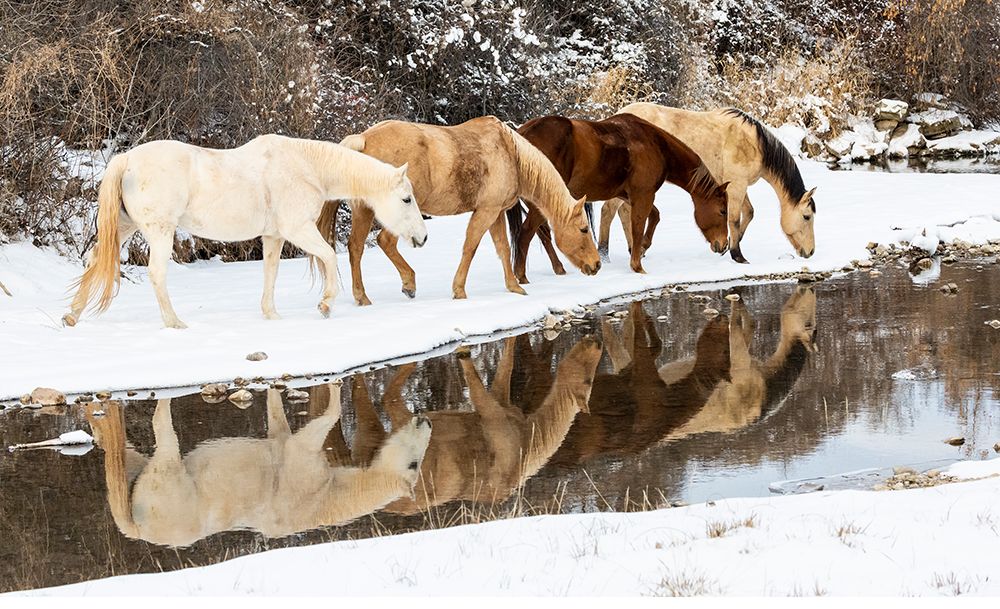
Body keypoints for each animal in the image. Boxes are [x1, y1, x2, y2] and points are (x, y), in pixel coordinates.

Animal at [62, 134, 428, 329]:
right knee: (156, 274)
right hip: (160, 232)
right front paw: (325, 305)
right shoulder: (298, 230)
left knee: (94, 261)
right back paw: (174, 322)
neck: (306, 167)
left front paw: (271, 314)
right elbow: (327, 257)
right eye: (406, 199)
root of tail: (126, 160)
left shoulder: (274, 236)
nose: (422, 238)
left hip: (125, 227)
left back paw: (72, 316)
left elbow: (271, 272)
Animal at [84, 388, 431, 547]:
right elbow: (325, 420)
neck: (324, 498)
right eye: (415, 463)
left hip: (144, 476)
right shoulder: (301, 461)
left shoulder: (284, 444)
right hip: (170, 481)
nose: (425, 420)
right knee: (163, 430)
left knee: (124, 455)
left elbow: (277, 421)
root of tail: (140, 528)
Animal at [314, 116, 601, 304]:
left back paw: (363, 297)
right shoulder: (485, 211)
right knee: (384, 241)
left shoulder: (495, 213)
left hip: (364, 211)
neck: (511, 154)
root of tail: (363, 140)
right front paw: (459, 290)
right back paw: (407, 284)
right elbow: (470, 247)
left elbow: (502, 248)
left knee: (356, 247)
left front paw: (513, 286)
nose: (596, 264)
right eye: (583, 229)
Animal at [505, 113, 731, 281]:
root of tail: (520, 135)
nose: (724, 245)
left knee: (542, 233)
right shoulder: (643, 195)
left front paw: (642, 248)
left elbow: (654, 217)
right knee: (526, 233)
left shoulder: (632, 195)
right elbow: (638, 226)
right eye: (722, 211)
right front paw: (637, 265)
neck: (656, 145)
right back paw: (522, 277)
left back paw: (558, 269)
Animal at [611, 103, 817, 263]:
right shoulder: (737, 185)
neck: (752, 143)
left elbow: (748, 213)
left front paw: (731, 245)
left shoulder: (738, 185)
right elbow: (734, 219)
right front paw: (737, 255)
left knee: (623, 211)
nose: (811, 252)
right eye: (807, 217)